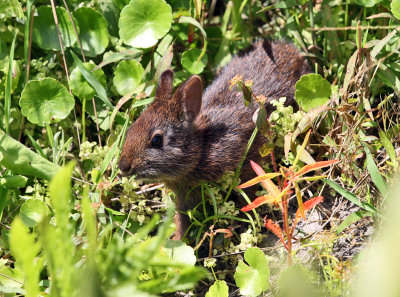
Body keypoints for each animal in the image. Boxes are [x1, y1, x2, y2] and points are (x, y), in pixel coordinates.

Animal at [117, 40, 310, 238]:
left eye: (156, 140)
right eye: (132, 128)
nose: (123, 166)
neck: (202, 149)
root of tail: (289, 49)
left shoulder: (248, 165)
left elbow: (247, 195)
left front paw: (244, 226)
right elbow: (182, 219)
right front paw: (176, 240)